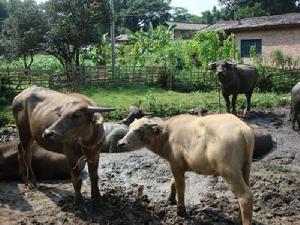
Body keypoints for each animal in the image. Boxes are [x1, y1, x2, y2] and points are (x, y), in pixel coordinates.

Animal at [118, 114, 254, 225]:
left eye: (139, 130)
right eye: (130, 128)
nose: (120, 143)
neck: (167, 136)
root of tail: (243, 129)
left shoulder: (176, 165)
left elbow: (180, 187)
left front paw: (181, 211)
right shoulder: (176, 164)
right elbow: (173, 181)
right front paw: (170, 199)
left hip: (230, 171)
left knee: (245, 196)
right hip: (245, 168)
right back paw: (238, 218)